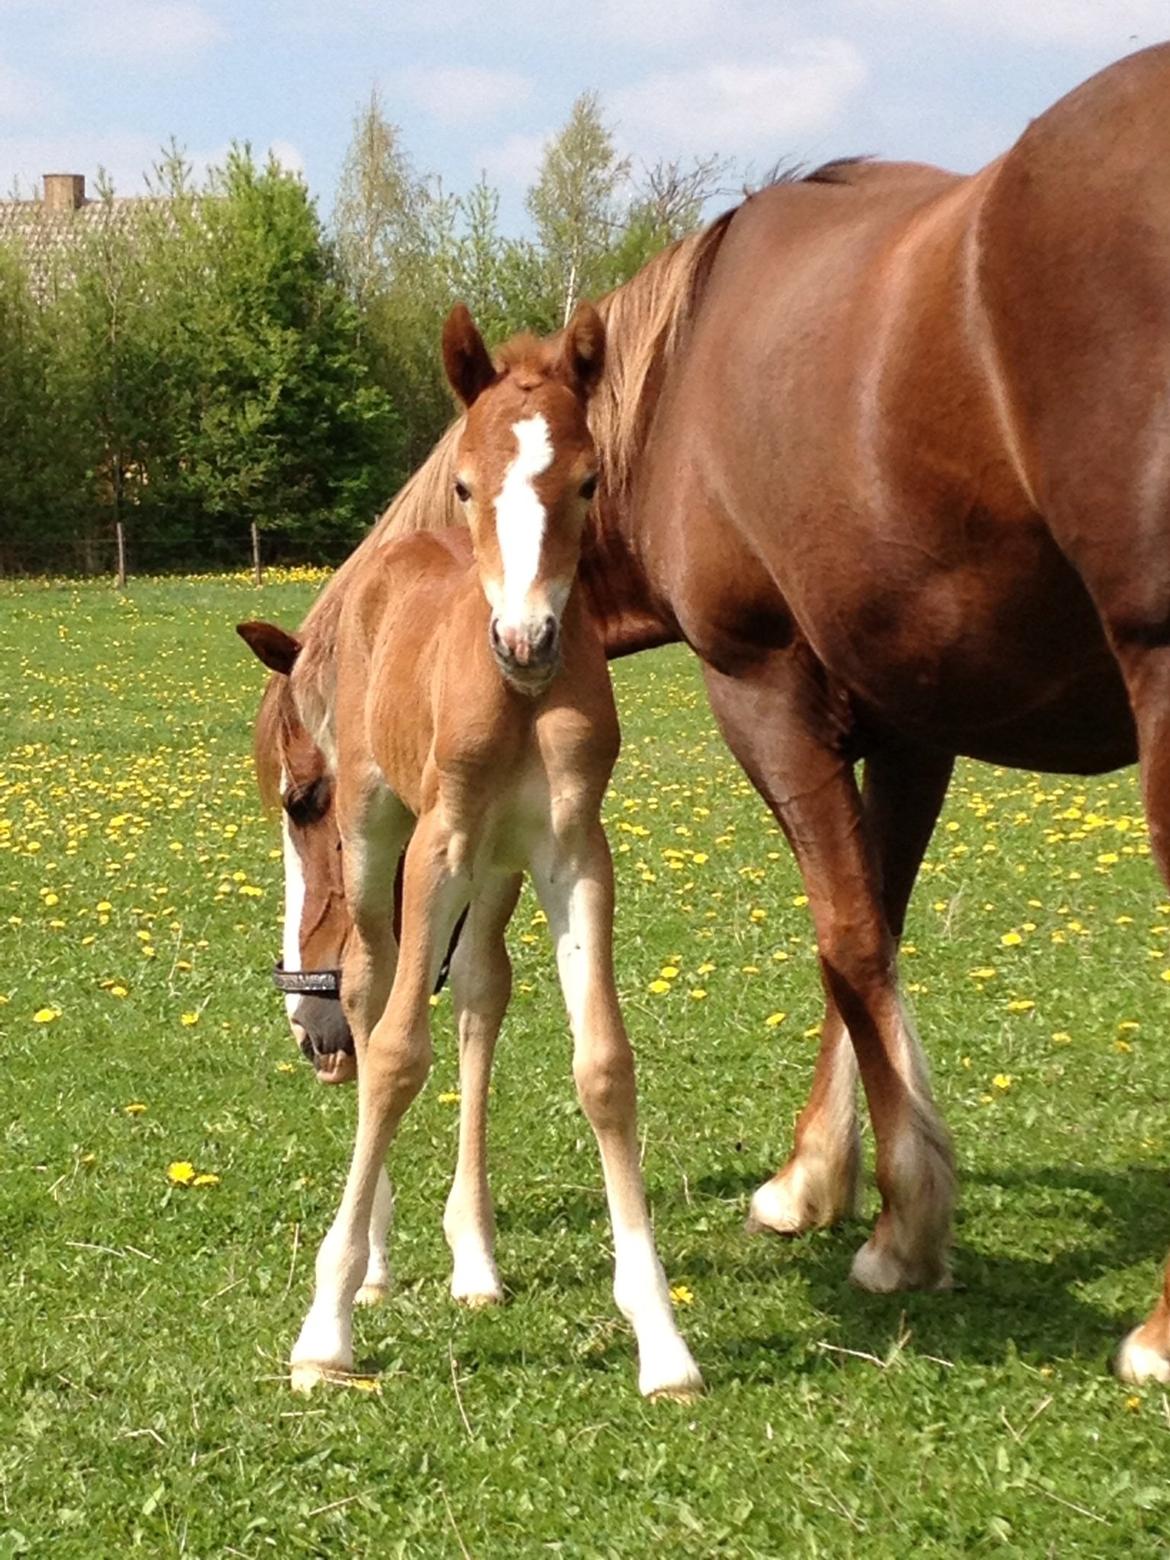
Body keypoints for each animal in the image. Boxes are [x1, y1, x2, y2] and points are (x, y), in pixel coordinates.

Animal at [243, 304, 702, 1404]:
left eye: (588, 481)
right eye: (464, 482)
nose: (526, 640)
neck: (521, 698)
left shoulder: (574, 852)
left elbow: (603, 1063)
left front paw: (662, 1339)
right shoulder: (438, 844)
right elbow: (395, 1051)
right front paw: (324, 1331)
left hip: (496, 869)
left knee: (481, 991)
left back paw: (475, 1258)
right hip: (383, 838)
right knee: (370, 993)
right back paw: (371, 1262)